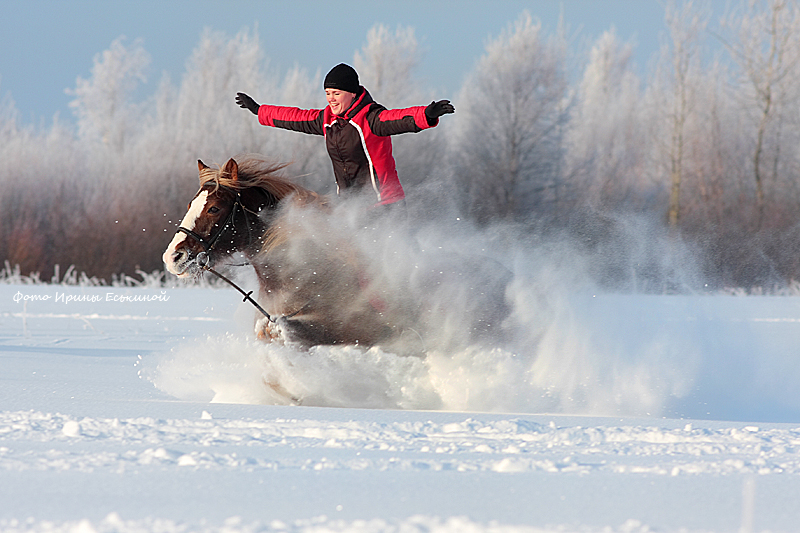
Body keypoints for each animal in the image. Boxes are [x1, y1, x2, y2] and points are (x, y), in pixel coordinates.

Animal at [164, 154, 512, 352]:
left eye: (214, 207)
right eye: (191, 203)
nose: (174, 257)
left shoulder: (348, 331)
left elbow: (285, 328)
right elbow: (265, 330)